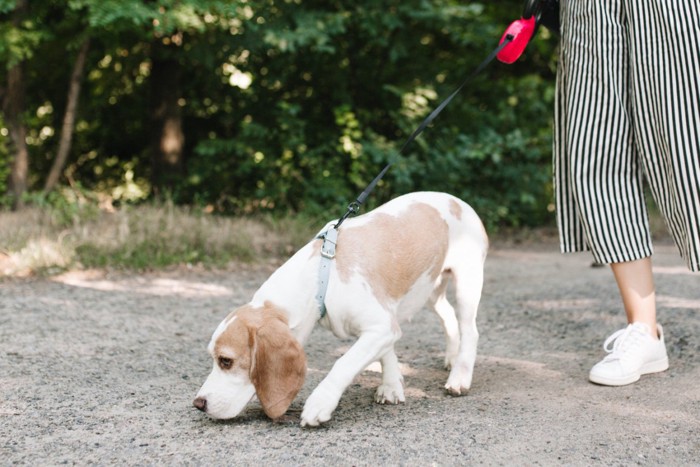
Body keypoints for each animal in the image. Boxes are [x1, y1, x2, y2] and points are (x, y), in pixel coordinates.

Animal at [191, 191, 486, 428]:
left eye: (226, 361)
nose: (198, 404)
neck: (320, 276)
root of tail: (458, 201)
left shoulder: (380, 327)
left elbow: (344, 363)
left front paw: (320, 403)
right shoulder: (385, 324)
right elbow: (387, 354)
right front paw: (391, 385)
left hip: (466, 284)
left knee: (470, 330)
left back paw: (460, 376)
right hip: (430, 291)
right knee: (449, 318)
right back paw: (451, 358)